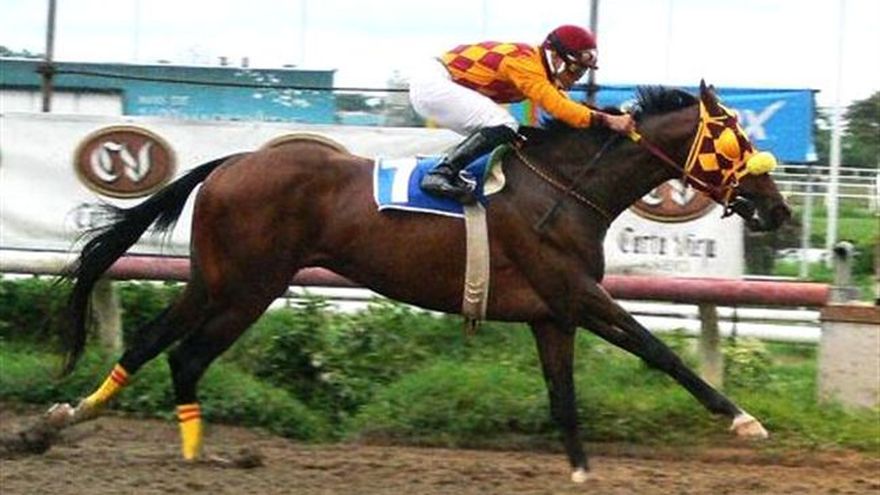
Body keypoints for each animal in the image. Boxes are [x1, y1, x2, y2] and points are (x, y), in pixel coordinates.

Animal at [46, 81, 790, 483]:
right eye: (734, 140)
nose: (779, 210)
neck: (564, 189)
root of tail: (233, 161)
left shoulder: (550, 313)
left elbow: (564, 396)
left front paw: (581, 468)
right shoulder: (576, 294)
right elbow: (658, 351)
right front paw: (744, 419)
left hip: (216, 278)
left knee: (150, 341)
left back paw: (68, 418)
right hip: (248, 287)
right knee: (185, 355)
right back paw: (191, 452)